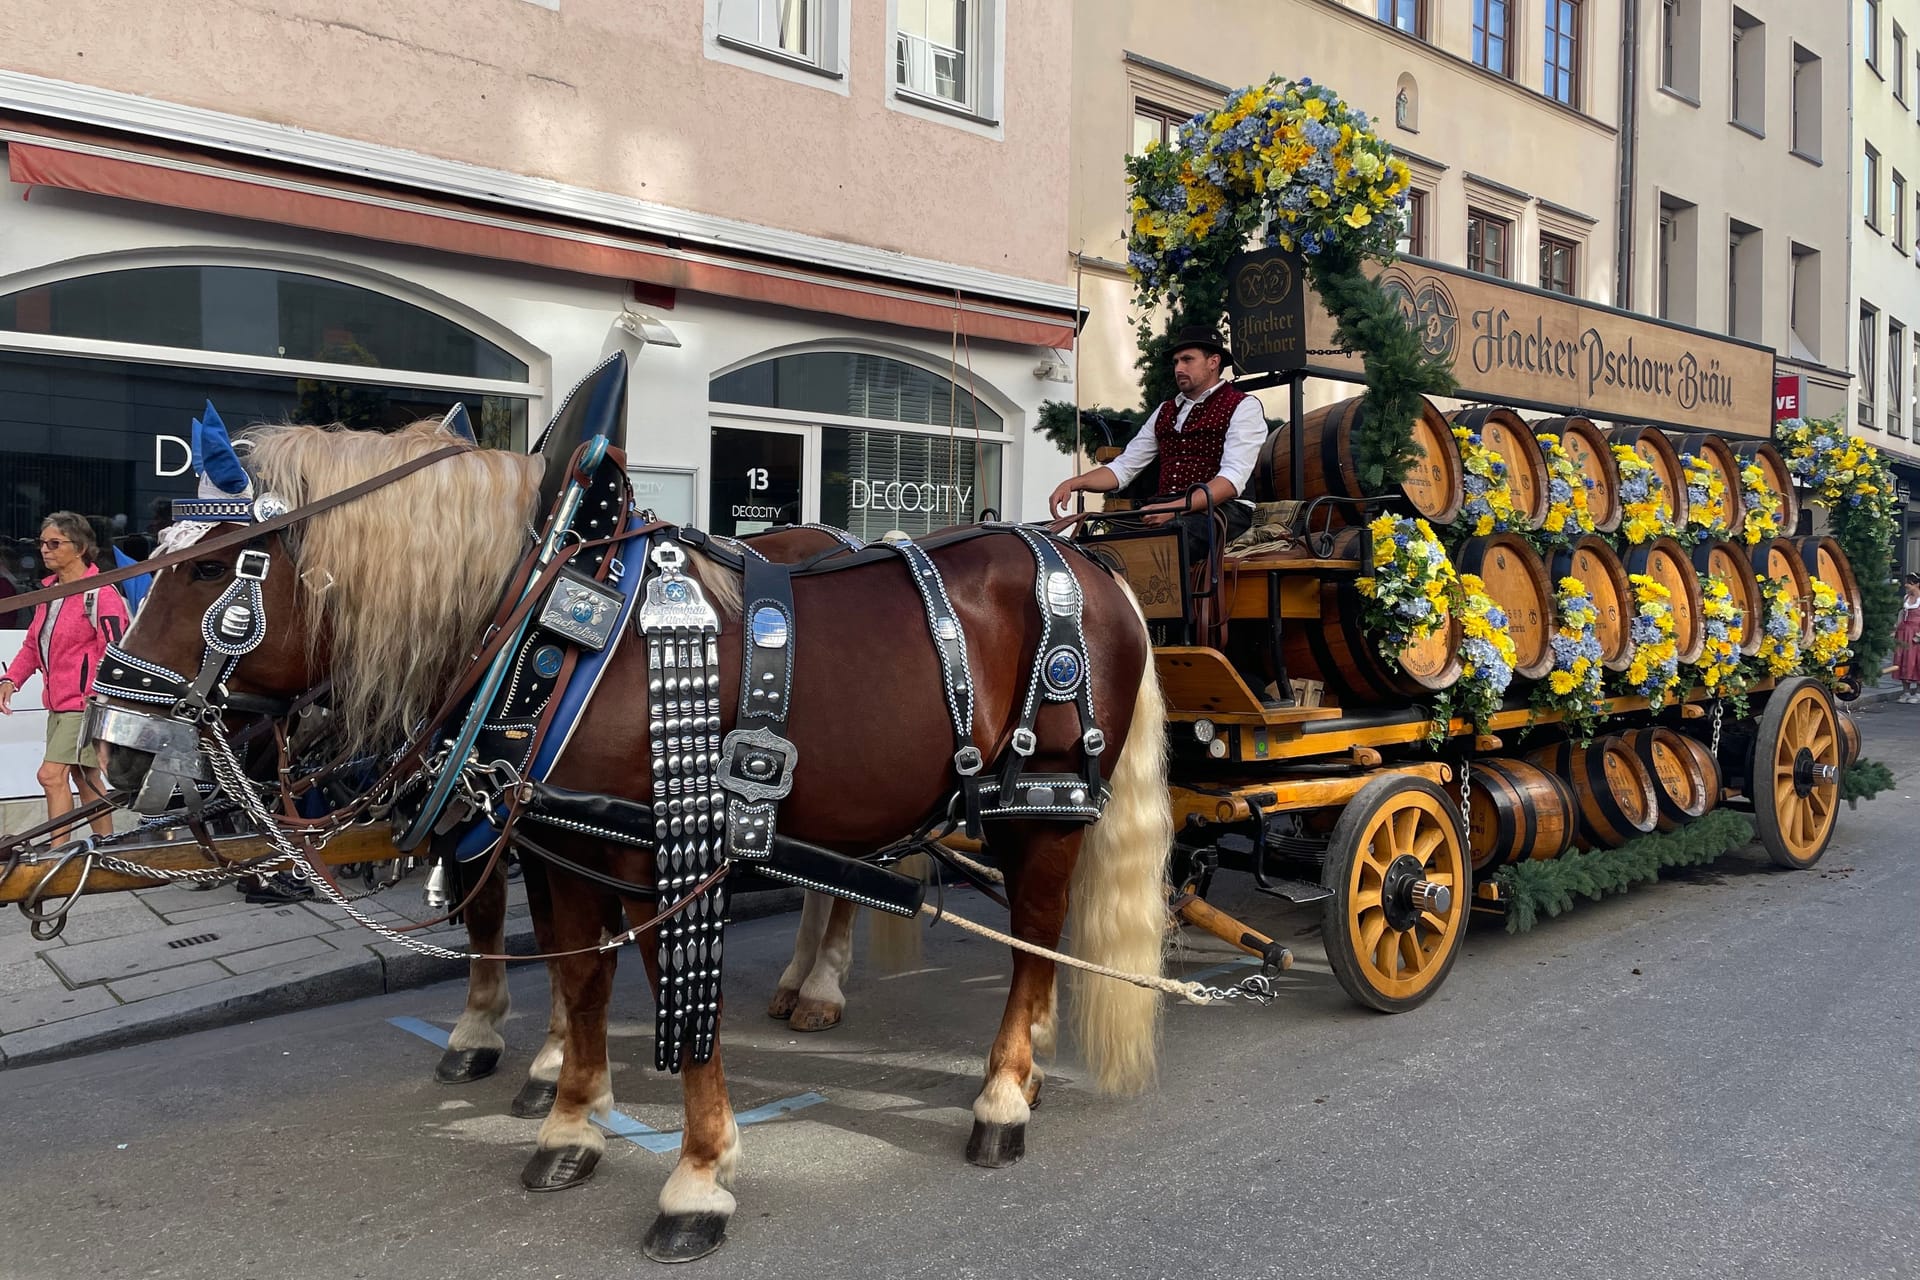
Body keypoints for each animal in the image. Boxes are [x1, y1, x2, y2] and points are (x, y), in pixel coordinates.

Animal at [101, 420, 1167, 1258]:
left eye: (210, 567)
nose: (115, 751)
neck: (551, 634)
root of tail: (1087, 561)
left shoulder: (657, 858)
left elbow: (678, 1012)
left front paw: (697, 1178)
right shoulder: (555, 843)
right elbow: (578, 980)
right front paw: (568, 1123)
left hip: (1043, 802)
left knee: (1034, 931)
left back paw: (1003, 1093)